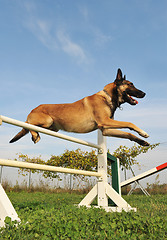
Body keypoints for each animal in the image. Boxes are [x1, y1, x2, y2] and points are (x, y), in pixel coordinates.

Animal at [9, 68, 149, 145]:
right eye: (130, 84)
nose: (144, 93)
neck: (108, 96)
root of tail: (32, 110)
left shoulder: (106, 129)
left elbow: (128, 134)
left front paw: (141, 141)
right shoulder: (105, 121)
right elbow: (129, 123)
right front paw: (143, 132)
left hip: (53, 128)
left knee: (31, 127)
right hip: (47, 121)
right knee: (28, 125)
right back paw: (35, 135)